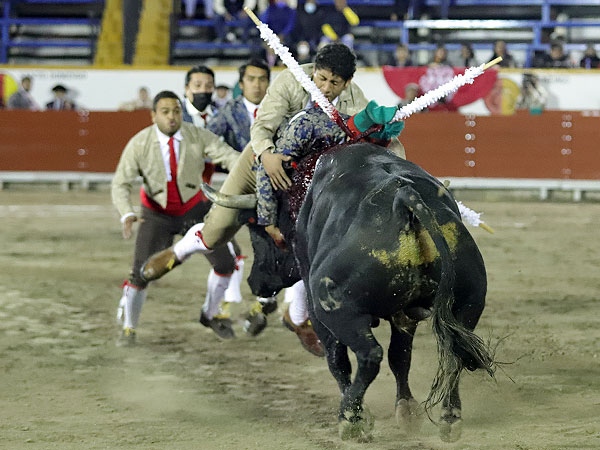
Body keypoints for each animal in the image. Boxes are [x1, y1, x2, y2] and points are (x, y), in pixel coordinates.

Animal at [209, 142, 494, 442]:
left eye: (257, 230)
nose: (254, 282)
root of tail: (404, 197)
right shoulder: (404, 315)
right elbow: (400, 358)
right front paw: (407, 411)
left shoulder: (319, 308)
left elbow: (338, 361)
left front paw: (362, 414)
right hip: (468, 304)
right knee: (452, 354)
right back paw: (450, 418)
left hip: (337, 311)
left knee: (369, 356)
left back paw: (350, 417)